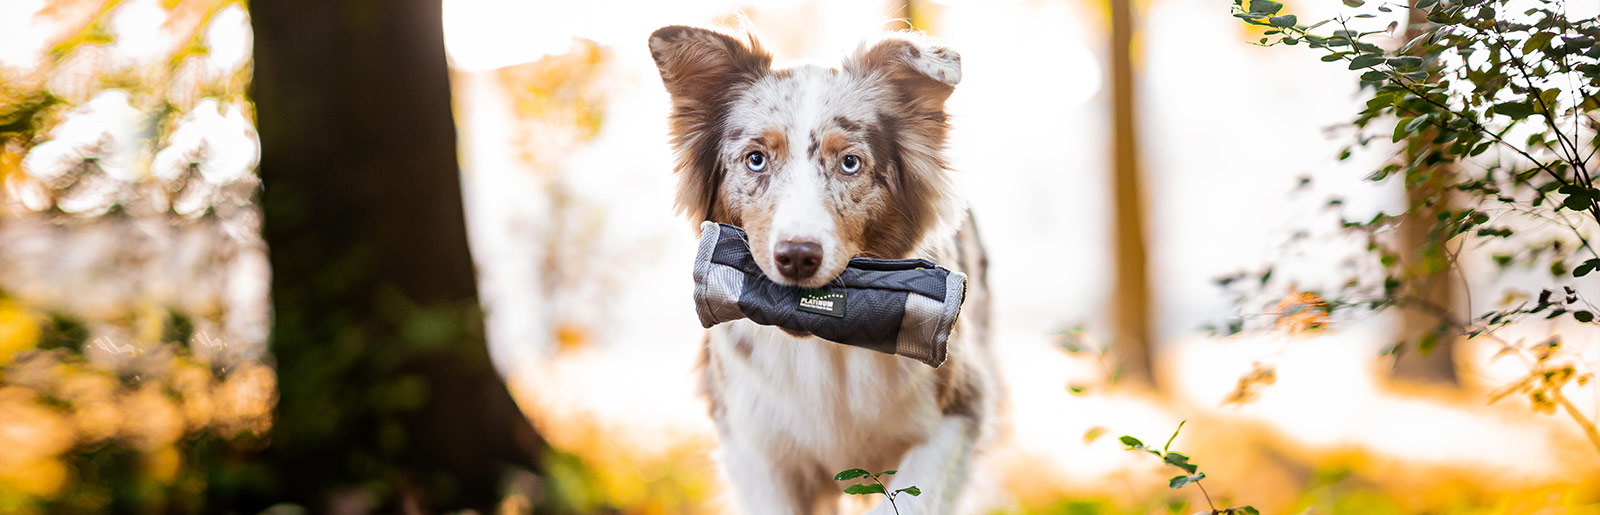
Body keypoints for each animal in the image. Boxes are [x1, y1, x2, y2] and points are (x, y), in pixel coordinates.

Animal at [649, 25, 998, 515]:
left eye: (849, 163)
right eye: (756, 159)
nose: (797, 256)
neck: (823, 347)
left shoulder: (957, 414)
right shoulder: (756, 449)